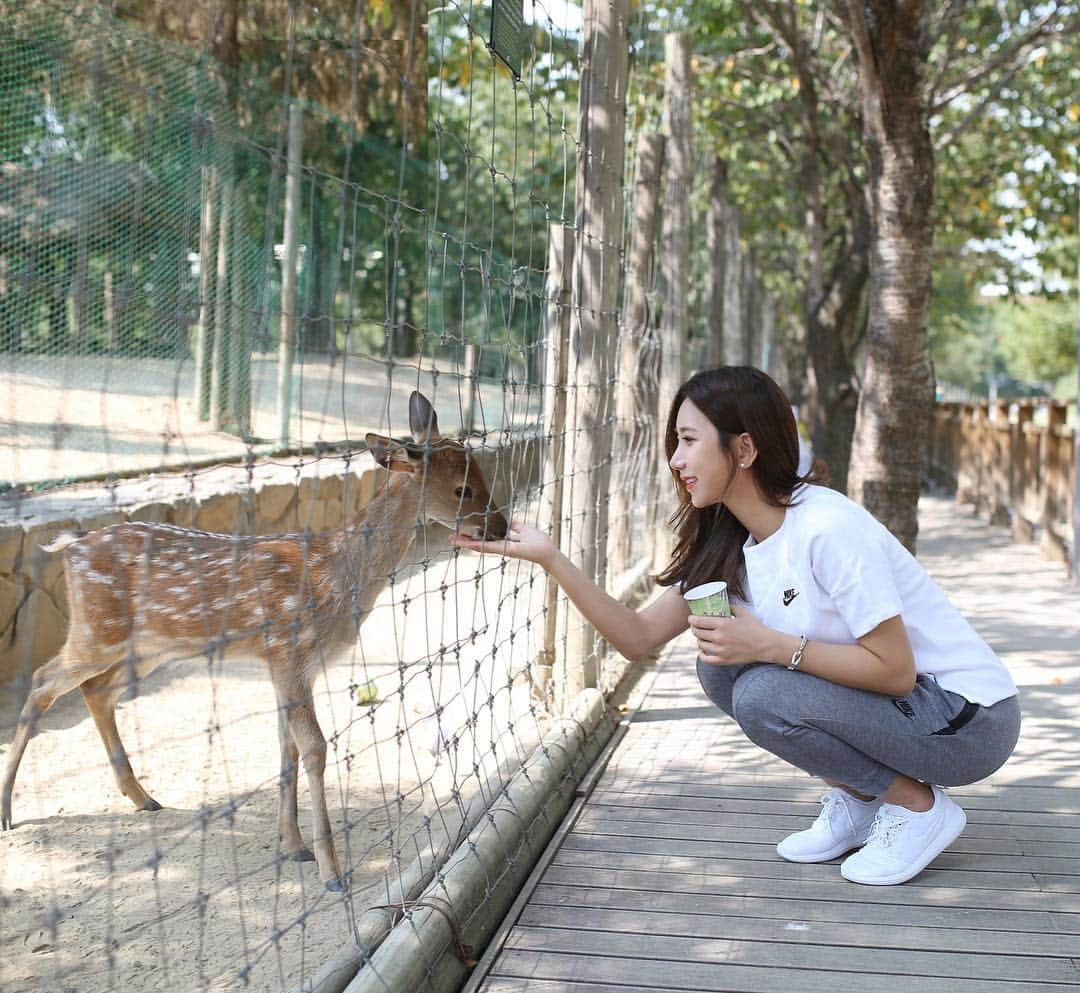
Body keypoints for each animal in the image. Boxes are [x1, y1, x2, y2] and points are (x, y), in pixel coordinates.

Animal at [0, 391, 507, 894]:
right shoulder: (290, 651)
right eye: (462, 488)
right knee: (44, 680)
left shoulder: (289, 667)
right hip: (96, 632)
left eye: (483, 475)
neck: (337, 575)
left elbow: (287, 747)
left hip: (145, 647)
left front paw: (294, 846)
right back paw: (8, 810)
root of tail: (68, 547)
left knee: (96, 691)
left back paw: (144, 798)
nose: (501, 527)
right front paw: (331, 871)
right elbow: (314, 748)